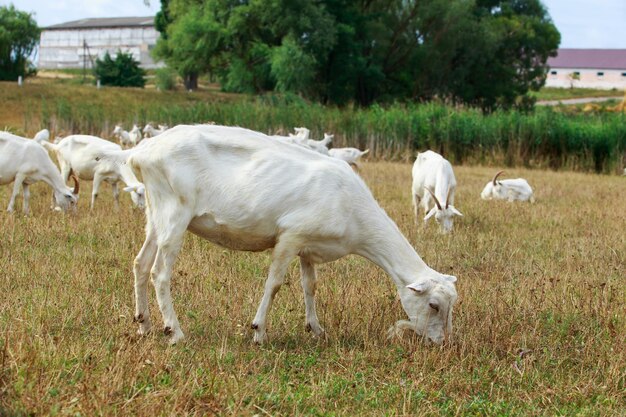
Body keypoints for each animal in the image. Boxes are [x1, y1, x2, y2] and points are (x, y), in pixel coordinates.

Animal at [118, 123, 458, 344]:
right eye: (433, 305)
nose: (442, 342)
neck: (354, 214)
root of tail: (141, 152)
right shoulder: (290, 236)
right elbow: (275, 283)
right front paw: (259, 332)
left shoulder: (309, 245)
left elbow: (311, 286)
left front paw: (316, 329)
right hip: (175, 213)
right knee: (160, 273)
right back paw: (174, 332)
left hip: (156, 213)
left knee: (140, 264)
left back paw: (144, 324)